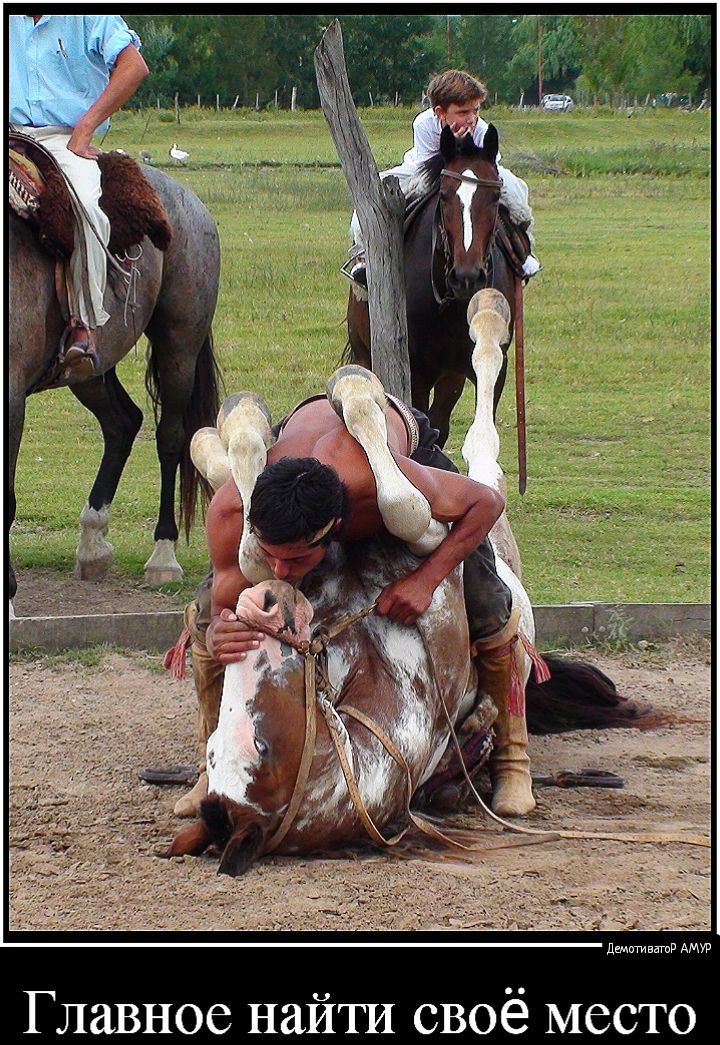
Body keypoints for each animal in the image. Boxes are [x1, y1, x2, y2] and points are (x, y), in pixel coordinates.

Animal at [7, 165, 221, 606]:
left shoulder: (12, 397)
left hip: (179, 346)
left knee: (170, 438)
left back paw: (163, 555)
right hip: (90, 369)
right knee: (122, 423)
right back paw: (92, 542)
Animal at [344, 124, 514, 447]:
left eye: (496, 195)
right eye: (445, 195)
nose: (467, 275)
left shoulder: (488, 366)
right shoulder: (418, 373)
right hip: (364, 353)